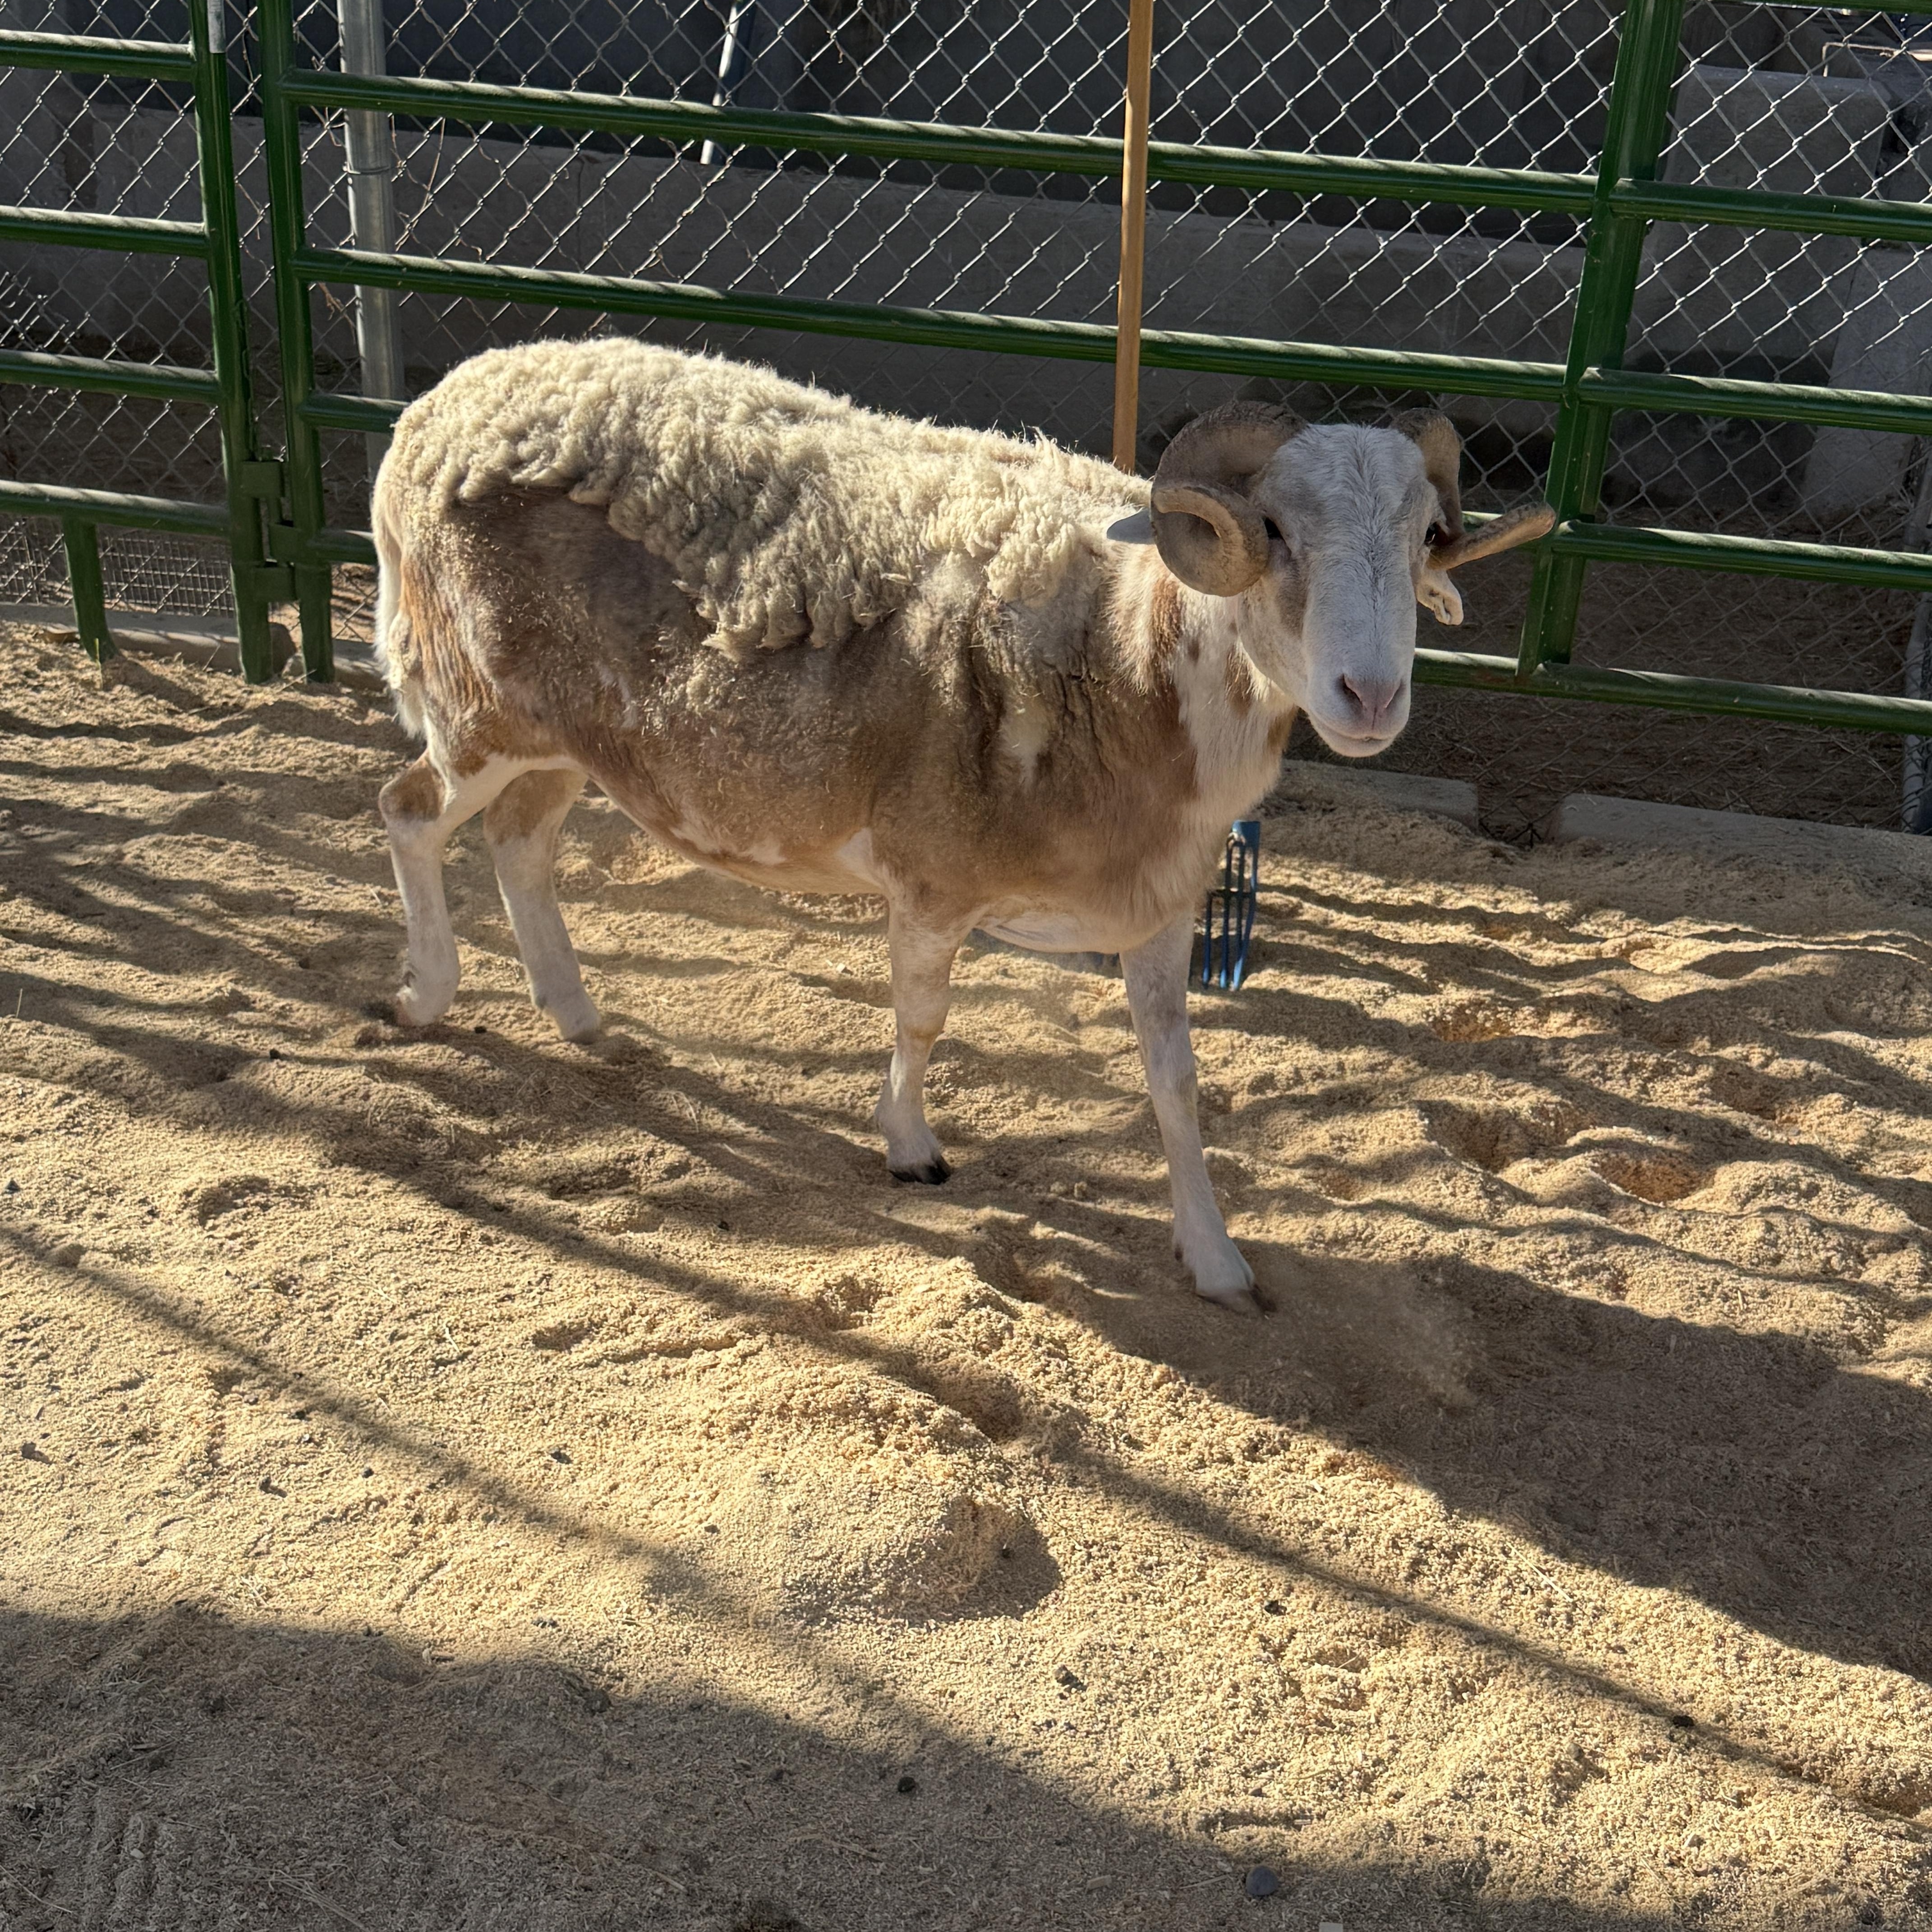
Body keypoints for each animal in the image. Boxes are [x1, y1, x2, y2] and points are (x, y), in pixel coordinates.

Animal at [371, 339, 1551, 1309]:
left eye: (1430, 536)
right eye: (1276, 533)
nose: (1371, 697)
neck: (1127, 648)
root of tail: (437, 404)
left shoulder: (1159, 904)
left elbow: (1177, 1085)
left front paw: (1216, 1258)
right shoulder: (932, 873)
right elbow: (924, 1019)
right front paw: (910, 1147)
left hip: (566, 738)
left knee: (521, 844)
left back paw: (573, 1012)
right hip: (479, 705)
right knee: (410, 814)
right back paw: (426, 995)